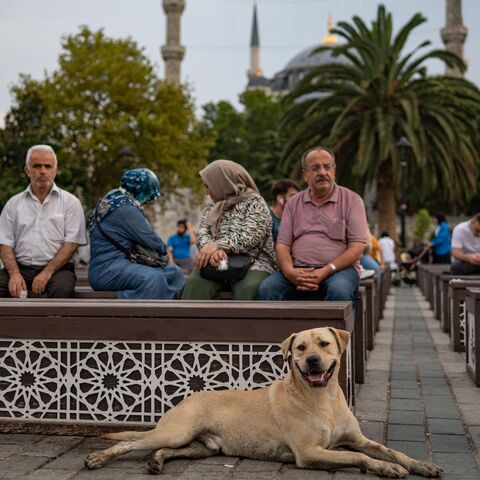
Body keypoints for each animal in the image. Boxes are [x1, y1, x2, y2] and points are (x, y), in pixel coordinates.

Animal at [85, 326, 442, 476]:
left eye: (324, 343)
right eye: (300, 348)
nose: (313, 360)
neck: (322, 398)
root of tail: (187, 398)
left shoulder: (357, 438)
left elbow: (388, 450)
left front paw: (418, 464)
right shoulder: (309, 453)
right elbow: (358, 458)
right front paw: (386, 469)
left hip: (203, 446)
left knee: (164, 451)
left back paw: (157, 462)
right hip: (176, 432)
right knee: (131, 443)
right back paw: (99, 458)